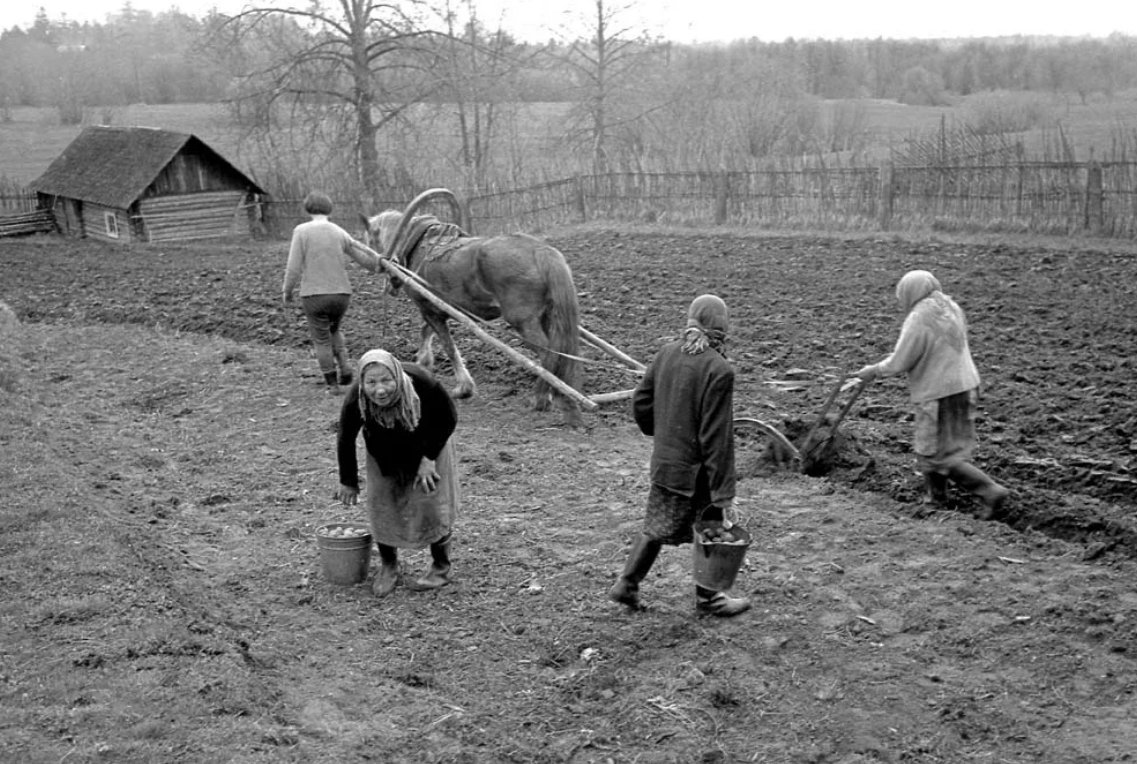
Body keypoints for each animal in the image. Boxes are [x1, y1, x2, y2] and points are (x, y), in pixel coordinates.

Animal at [361, 185, 582, 422]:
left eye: (370, 240)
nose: (387, 281)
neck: (416, 246)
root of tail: (540, 250)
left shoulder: (429, 308)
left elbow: (448, 346)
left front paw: (463, 388)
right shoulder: (434, 307)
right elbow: (426, 332)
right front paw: (423, 362)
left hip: (524, 321)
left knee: (548, 352)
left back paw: (540, 398)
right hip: (547, 315)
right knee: (559, 351)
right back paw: (561, 395)